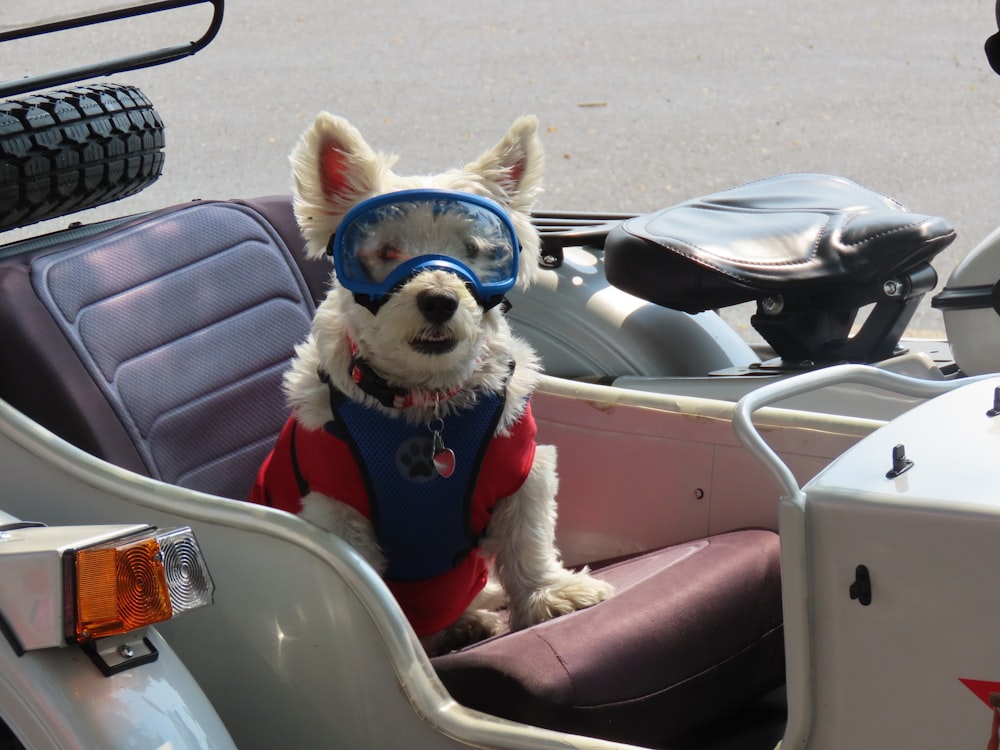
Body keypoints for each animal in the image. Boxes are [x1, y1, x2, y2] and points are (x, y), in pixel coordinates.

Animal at [252, 113, 608, 656]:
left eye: (476, 250)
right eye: (385, 250)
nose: (439, 300)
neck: (425, 401)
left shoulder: (522, 471)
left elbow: (528, 541)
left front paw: (552, 595)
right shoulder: (337, 511)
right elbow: (373, 600)